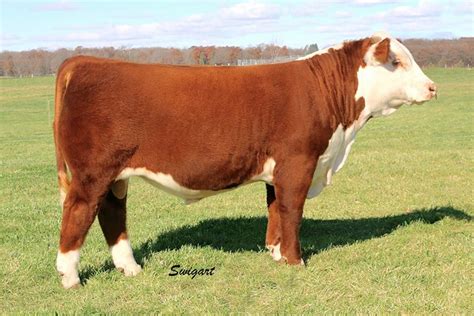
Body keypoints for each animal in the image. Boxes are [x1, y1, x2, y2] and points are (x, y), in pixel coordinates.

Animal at [52, 32, 436, 288]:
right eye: (397, 62)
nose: (433, 87)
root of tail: (84, 61)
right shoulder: (298, 161)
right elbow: (292, 210)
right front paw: (296, 262)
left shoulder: (279, 169)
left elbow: (276, 209)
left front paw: (276, 254)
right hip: (92, 172)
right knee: (78, 211)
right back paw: (70, 277)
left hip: (116, 175)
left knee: (112, 213)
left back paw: (129, 268)